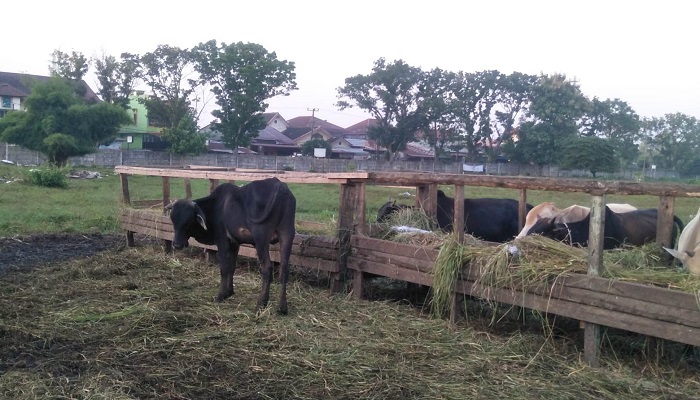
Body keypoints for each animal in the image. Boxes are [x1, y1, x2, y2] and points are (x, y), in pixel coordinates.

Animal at [166, 178, 296, 314]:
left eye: (188, 221)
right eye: (173, 220)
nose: (177, 245)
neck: (215, 206)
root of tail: (280, 186)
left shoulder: (222, 241)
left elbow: (224, 268)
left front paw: (221, 295)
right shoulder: (235, 244)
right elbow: (232, 267)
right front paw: (229, 292)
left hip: (261, 239)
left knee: (267, 268)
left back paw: (261, 304)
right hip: (287, 234)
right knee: (284, 269)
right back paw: (282, 307)